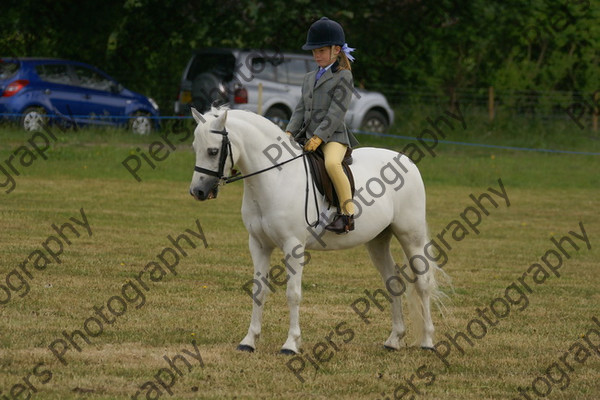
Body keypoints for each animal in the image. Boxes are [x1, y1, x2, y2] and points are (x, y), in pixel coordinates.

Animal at [190, 105, 442, 354]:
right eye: (195, 147)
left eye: (213, 151)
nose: (197, 192)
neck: (276, 177)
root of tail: (406, 161)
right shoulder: (258, 245)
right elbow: (258, 291)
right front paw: (249, 341)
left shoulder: (293, 246)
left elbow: (293, 295)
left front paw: (291, 344)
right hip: (378, 241)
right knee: (393, 282)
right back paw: (393, 339)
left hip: (411, 236)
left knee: (423, 284)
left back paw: (428, 342)